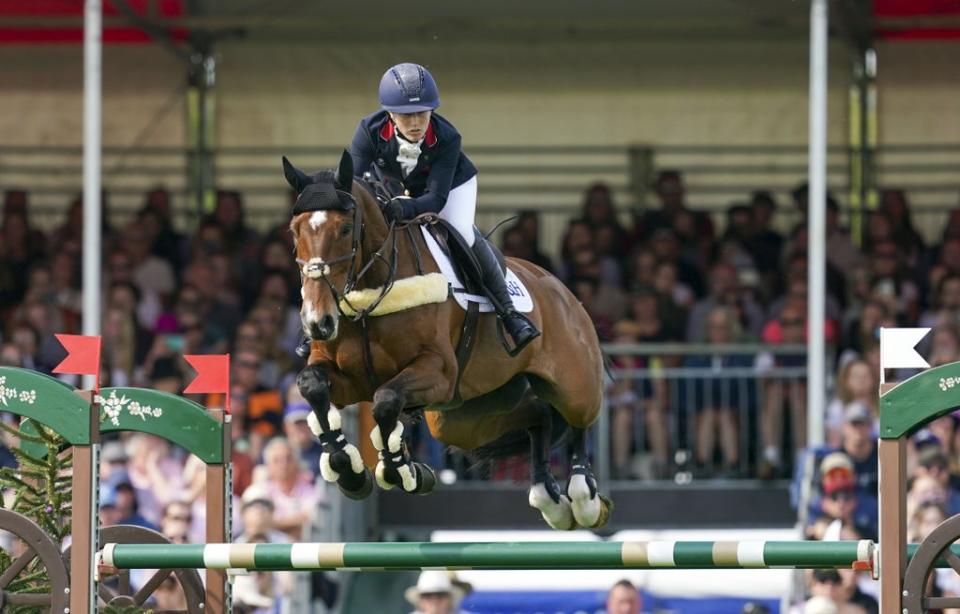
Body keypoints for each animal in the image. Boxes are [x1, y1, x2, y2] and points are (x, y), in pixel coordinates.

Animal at [288, 152, 612, 532]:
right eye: (295, 231)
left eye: (343, 229)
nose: (318, 322)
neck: (371, 292)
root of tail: (566, 293)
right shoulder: (349, 380)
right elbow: (314, 387)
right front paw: (351, 471)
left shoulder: (437, 372)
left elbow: (385, 401)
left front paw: (399, 470)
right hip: (463, 415)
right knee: (539, 416)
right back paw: (549, 497)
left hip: (572, 383)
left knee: (579, 420)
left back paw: (583, 497)